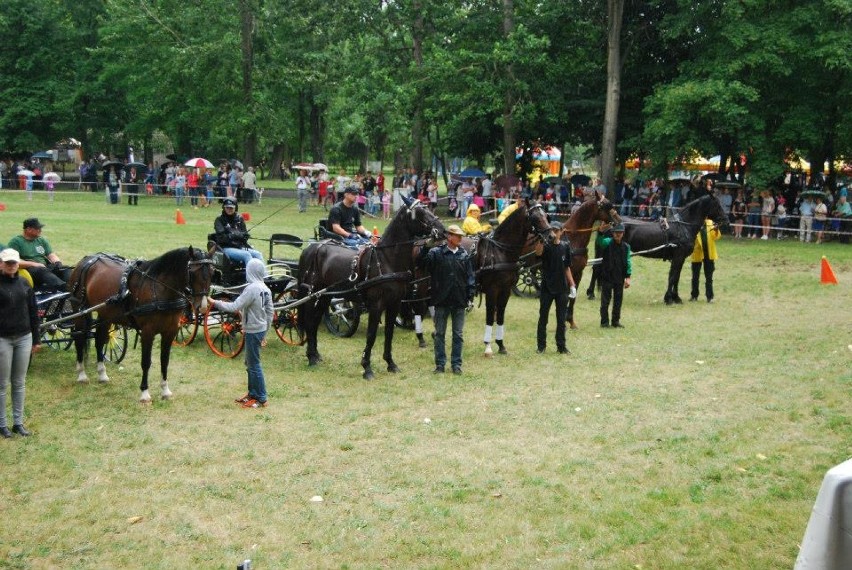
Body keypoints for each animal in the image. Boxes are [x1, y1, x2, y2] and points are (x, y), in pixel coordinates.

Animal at [68, 245, 215, 400]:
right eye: (192, 272)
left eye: (213, 272)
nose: (202, 306)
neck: (160, 289)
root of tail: (86, 260)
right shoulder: (147, 332)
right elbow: (146, 362)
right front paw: (144, 392)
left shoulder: (170, 331)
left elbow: (165, 361)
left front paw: (165, 390)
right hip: (79, 310)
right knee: (79, 338)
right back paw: (82, 374)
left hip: (105, 314)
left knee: (99, 340)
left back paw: (102, 374)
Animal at [298, 200, 446, 378]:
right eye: (420, 213)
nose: (443, 231)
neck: (386, 260)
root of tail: (312, 247)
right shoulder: (376, 305)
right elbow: (371, 335)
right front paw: (367, 367)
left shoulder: (394, 303)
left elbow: (389, 333)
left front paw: (390, 363)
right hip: (311, 295)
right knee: (308, 322)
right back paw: (311, 358)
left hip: (325, 296)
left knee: (314, 323)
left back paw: (315, 355)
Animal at [462, 201, 548, 356]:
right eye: (535, 218)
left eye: (546, 215)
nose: (551, 236)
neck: (500, 252)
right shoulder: (492, 290)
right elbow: (490, 316)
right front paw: (488, 346)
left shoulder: (505, 290)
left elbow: (500, 315)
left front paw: (501, 345)